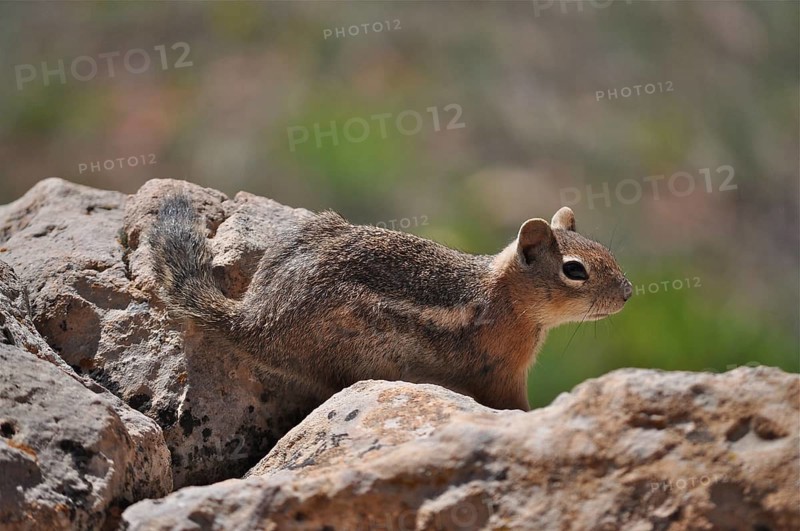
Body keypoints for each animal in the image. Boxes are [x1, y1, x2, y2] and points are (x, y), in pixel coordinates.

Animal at [148, 194, 632, 411]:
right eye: (575, 270)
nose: (628, 291)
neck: (505, 298)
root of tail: (256, 319)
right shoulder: (502, 372)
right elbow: (511, 405)